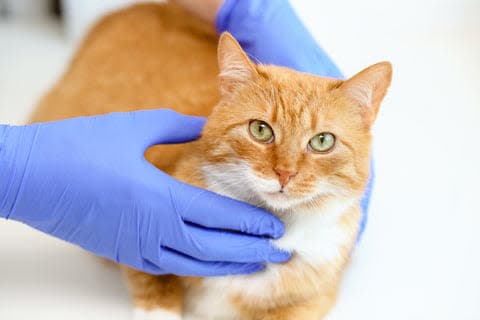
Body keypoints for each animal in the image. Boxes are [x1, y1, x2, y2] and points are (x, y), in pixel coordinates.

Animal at [30, 2, 392, 320]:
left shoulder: (312, 299)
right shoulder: (140, 233)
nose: (285, 173)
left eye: (322, 141)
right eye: (260, 130)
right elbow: (154, 287)